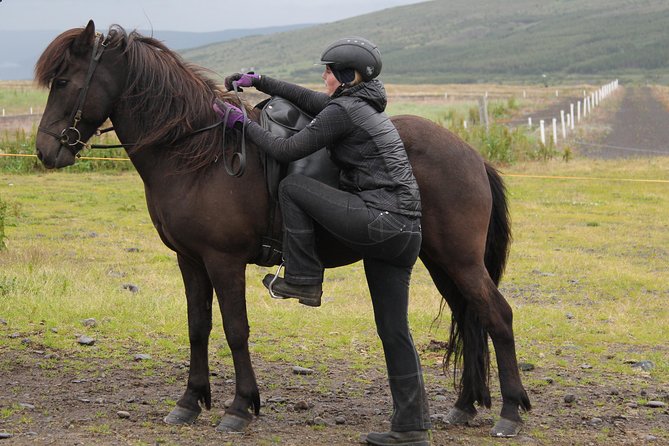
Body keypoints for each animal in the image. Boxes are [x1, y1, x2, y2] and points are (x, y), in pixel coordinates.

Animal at [35, 20, 528, 436]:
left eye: (63, 81)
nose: (44, 150)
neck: (198, 154)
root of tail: (470, 154)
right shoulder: (190, 260)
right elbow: (198, 327)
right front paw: (190, 401)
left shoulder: (223, 261)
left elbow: (235, 329)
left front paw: (239, 407)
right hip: (437, 260)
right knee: (471, 318)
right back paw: (464, 406)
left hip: (459, 260)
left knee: (497, 316)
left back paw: (510, 412)